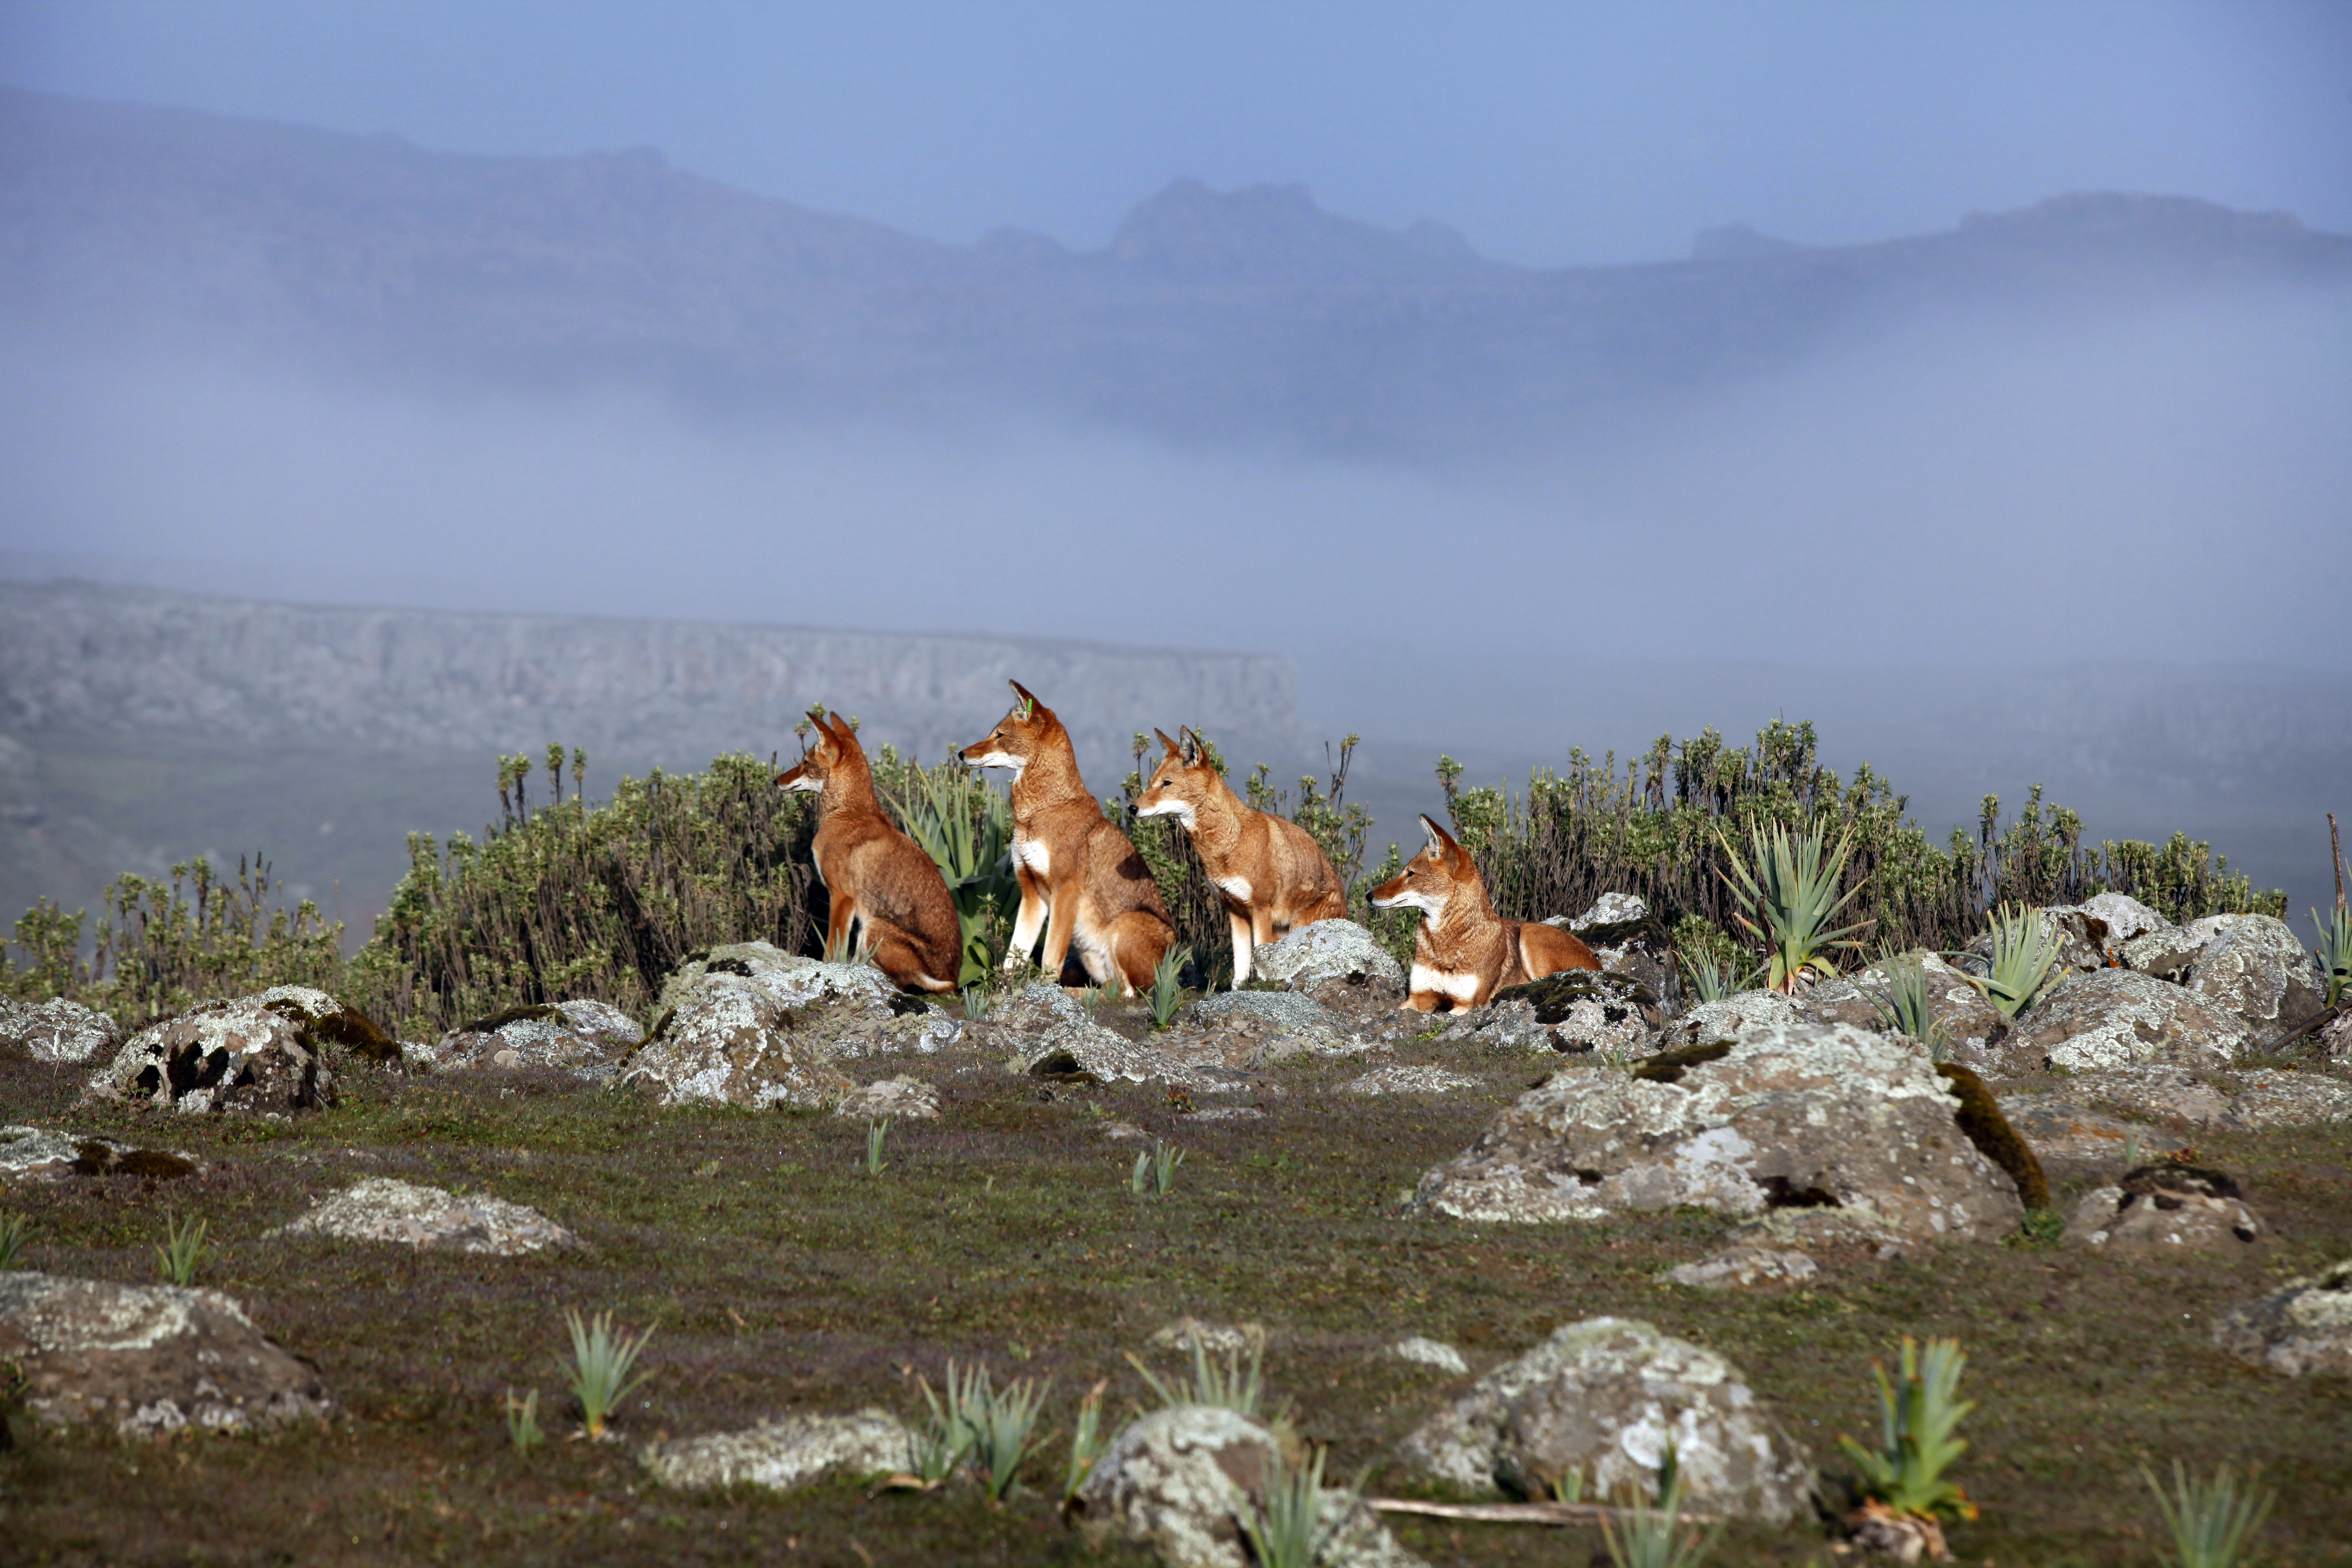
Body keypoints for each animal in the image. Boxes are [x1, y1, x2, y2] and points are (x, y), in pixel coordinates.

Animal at [1133, 724, 1354, 983]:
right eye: (1151, 783)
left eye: (1167, 784)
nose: (1132, 808)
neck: (1231, 843)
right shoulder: (1235, 912)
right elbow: (1240, 970)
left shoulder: (1260, 911)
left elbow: (1259, 960)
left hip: (1298, 927)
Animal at [1364, 818, 1599, 1011]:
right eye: (1404, 872)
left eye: (1410, 874)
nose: (1369, 896)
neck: (1446, 945)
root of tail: (1598, 965)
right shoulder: (1418, 996)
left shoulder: (1465, 1005)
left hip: (1530, 934)